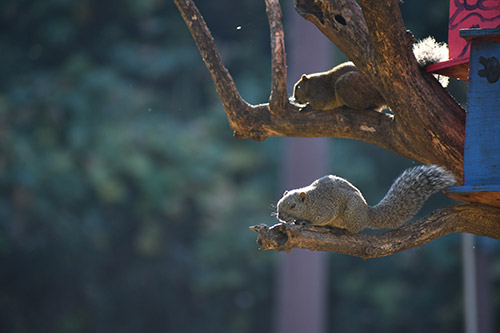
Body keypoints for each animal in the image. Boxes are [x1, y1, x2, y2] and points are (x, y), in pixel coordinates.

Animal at [278, 164, 458, 232]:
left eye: (293, 206)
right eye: (279, 204)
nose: (280, 217)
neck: (310, 201)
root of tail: (366, 212)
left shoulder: (324, 207)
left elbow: (323, 217)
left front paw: (305, 222)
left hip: (351, 212)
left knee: (353, 230)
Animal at [292, 37, 448, 111]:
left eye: (298, 87)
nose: (295, 98)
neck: (311, 84)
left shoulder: (321, 92)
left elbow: (320, 103)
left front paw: (306, 106)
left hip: (346, 84)